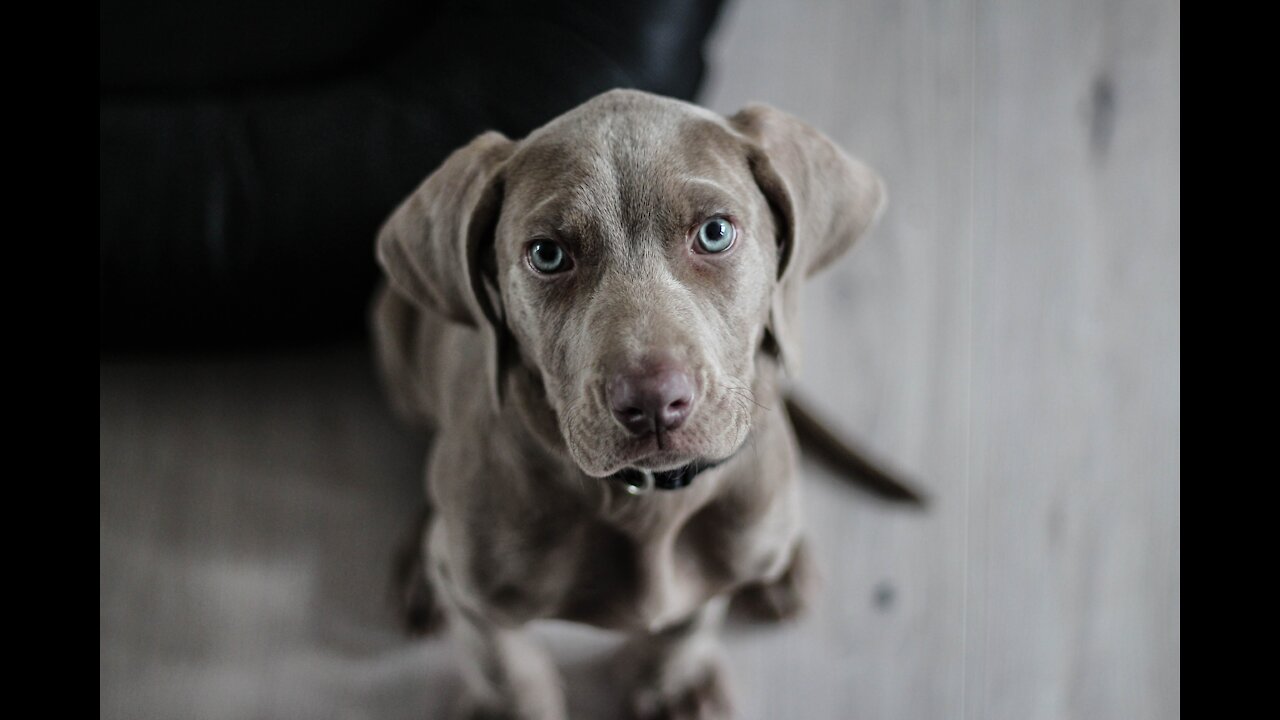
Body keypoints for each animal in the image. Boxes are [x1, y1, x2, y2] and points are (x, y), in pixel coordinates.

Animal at [371, 87, 890, 712]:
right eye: (547, 254)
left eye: (715, 233)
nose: (653, 403)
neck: (647, 501)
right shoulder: (477, 600)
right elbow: (506, 668)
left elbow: (690, 621)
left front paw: (673, 684)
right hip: (394, 340)